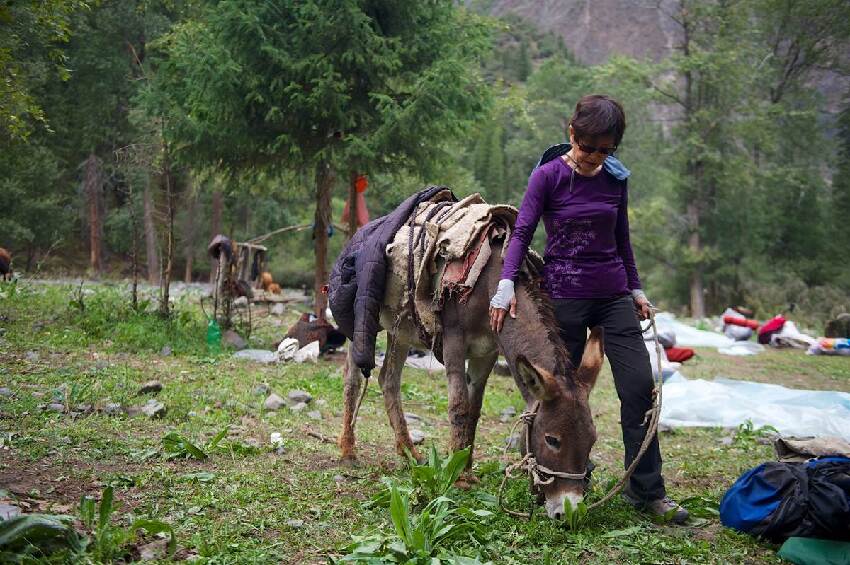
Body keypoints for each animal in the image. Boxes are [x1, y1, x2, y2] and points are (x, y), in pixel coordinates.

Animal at [338, 240, 604, 516]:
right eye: (552, 440)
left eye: (592, 440)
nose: (571, 511)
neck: (488, 284)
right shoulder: (454, 342)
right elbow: (459, 408)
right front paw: (459, 479)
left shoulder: (486, 353)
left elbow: (473, 412)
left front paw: (465, 466)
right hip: (360, 323)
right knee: (352, 378)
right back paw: (348, 451)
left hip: (400, 329)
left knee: (388, 380)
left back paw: (409, 453)